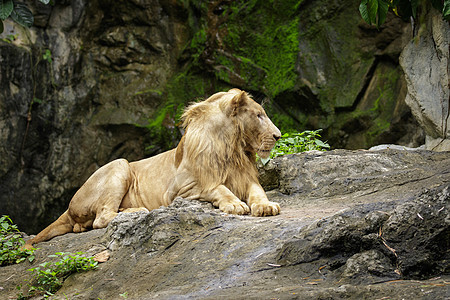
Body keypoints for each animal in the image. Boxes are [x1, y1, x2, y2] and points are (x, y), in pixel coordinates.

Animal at [24, 88, 282, 248]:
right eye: (259, 115)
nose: (278, 136)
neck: (232, 149)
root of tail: (68, 208)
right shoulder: (180, 190)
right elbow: (217, 188)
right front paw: (235, 204)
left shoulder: (246, 178)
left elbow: (258, 192)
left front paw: (266, 206)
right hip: (120, 164)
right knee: (101, 218)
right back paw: (135, 211)